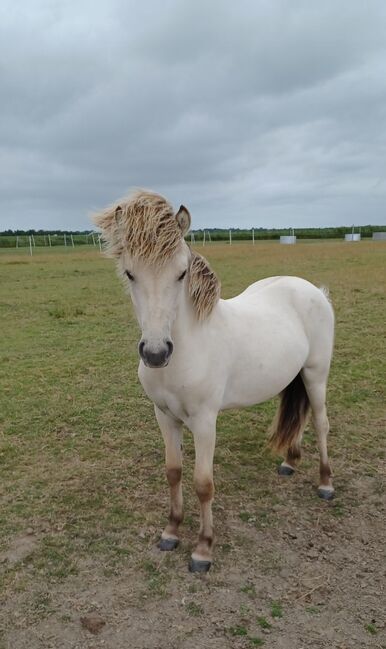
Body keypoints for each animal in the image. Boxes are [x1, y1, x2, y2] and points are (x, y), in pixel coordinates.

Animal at [94, 189, 334, 572]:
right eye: (130, 274)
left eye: (181, 273)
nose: (156, 353)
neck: (189, 349)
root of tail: (314, 291)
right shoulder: (164, 416)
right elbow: (173, 471)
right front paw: (171, 531)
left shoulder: (206, 421)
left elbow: (203, 483)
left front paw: (203, 549)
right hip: (295, 376)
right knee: (302, 415)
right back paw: (289, 463)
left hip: (316, 374)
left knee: (322, 423)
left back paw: (325, 483)